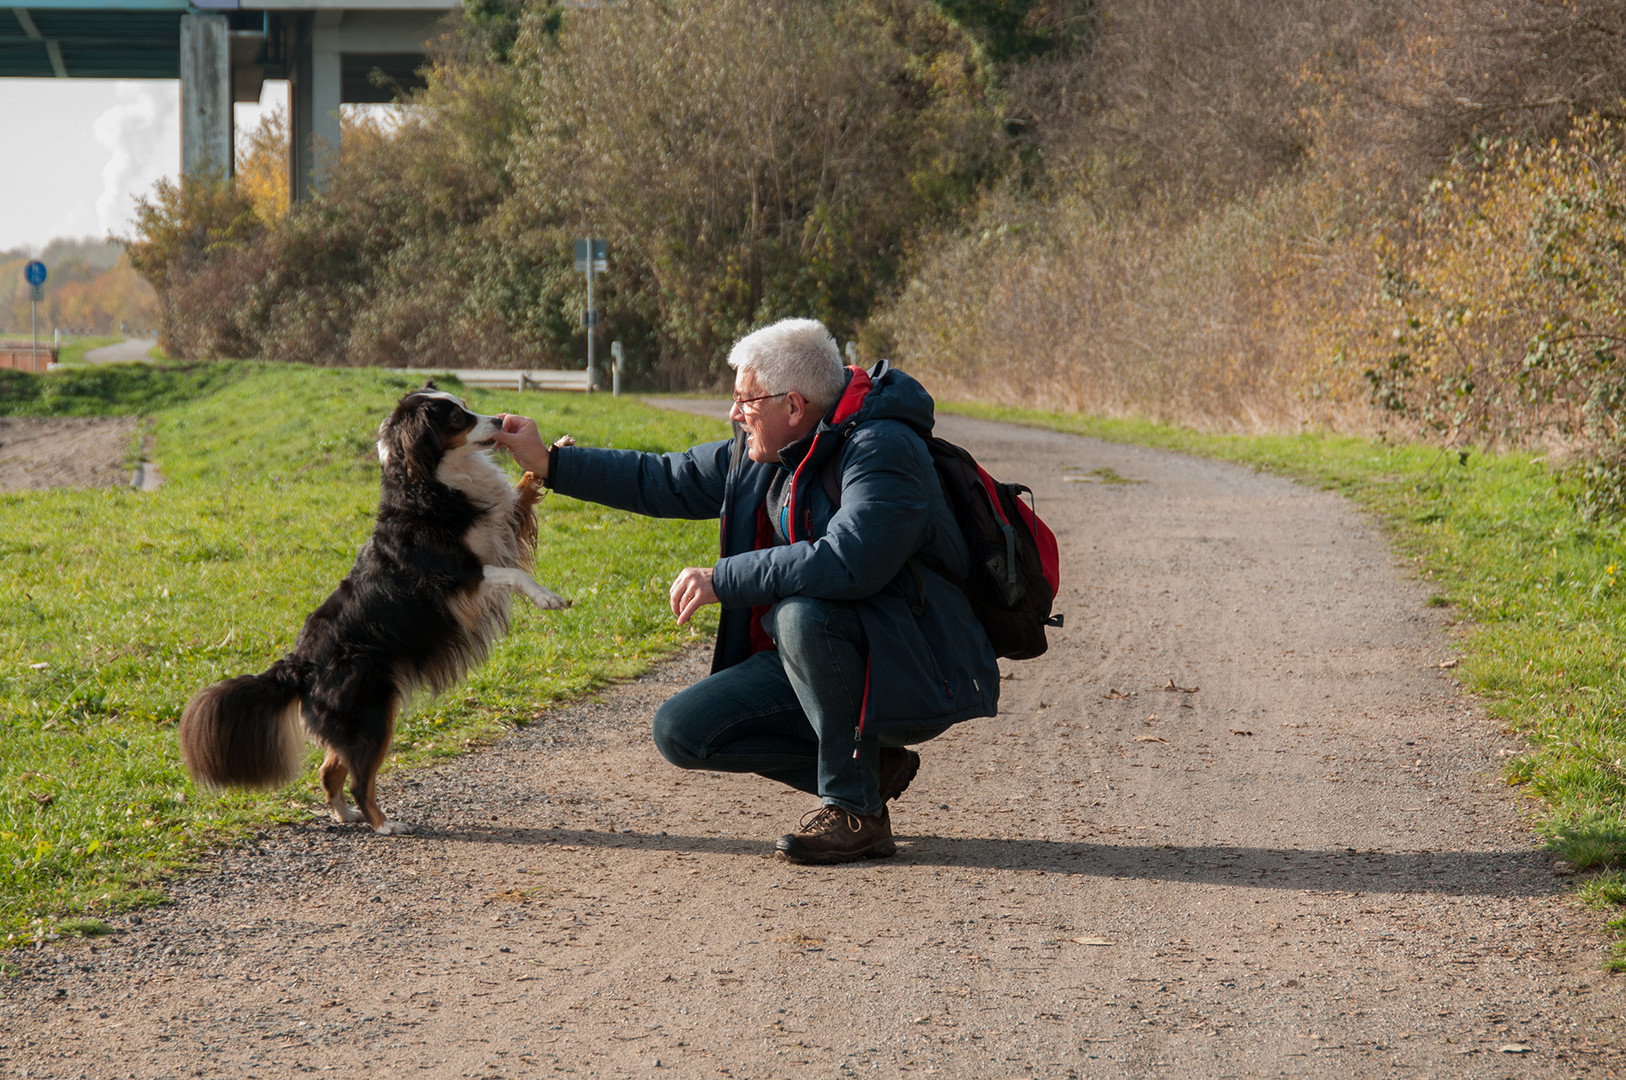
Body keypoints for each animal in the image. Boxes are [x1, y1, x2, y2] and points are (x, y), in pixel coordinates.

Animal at [178, 385, 569, 832]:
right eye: (458, 418)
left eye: (466, 406)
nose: (503, 421)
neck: (429, 481)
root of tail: (299, 664)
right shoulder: (457, 578)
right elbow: (514, 574)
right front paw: (547, 597)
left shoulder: (499, 527)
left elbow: (518, 495)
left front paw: (552, 451)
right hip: (373, 714)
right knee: (358, 780)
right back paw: (383, 823)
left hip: (359, 718)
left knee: (329, 770)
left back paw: (344, 814)